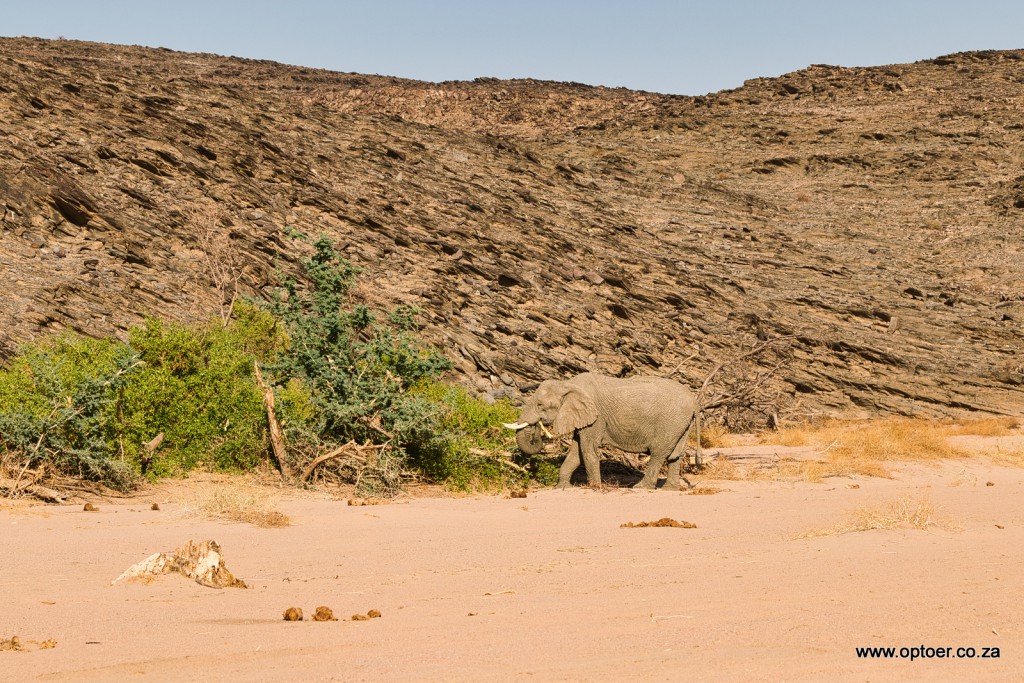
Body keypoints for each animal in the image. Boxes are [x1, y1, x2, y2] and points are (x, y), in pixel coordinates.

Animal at [505, 372, 701, 489]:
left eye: (540, 405)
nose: (536, 430)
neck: (568, 384)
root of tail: (694, 401)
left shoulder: (596, 418)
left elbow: (588, 450)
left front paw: (594, 488)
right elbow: (576, 452)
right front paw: (561, 488)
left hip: (670, 422)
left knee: (659, 454)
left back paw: (640, 488)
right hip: (681, 424)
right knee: (676, 455)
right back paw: (669, 489)